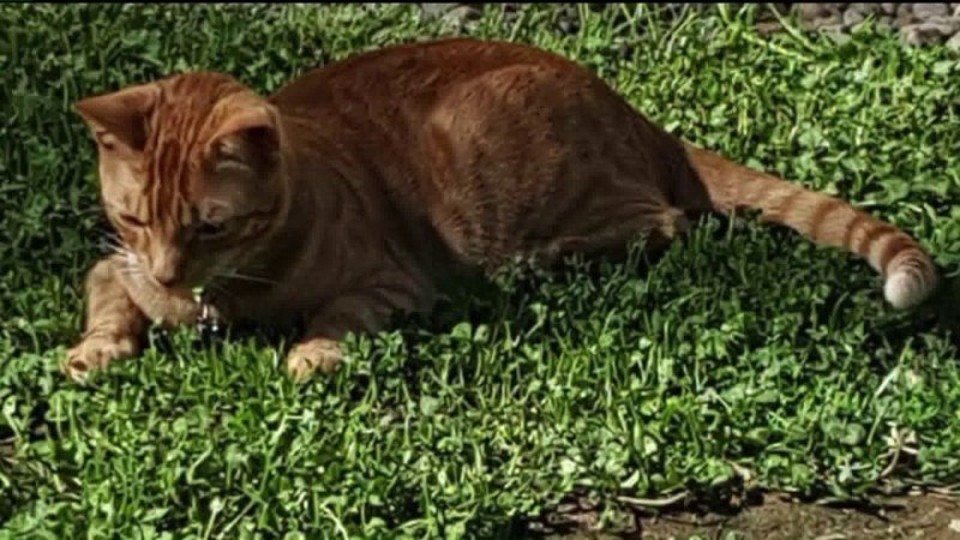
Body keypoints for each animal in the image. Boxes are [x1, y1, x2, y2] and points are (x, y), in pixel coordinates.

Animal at [67, 35, 936, 382]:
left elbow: (337, 316)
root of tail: (635, 115)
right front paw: (94, 351)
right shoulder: (113, 267)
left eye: (209, 226)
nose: (170, 277)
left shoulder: (393, 284)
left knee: (665, 221)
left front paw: (310, 353)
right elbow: (107, 303)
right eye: (135, 218)